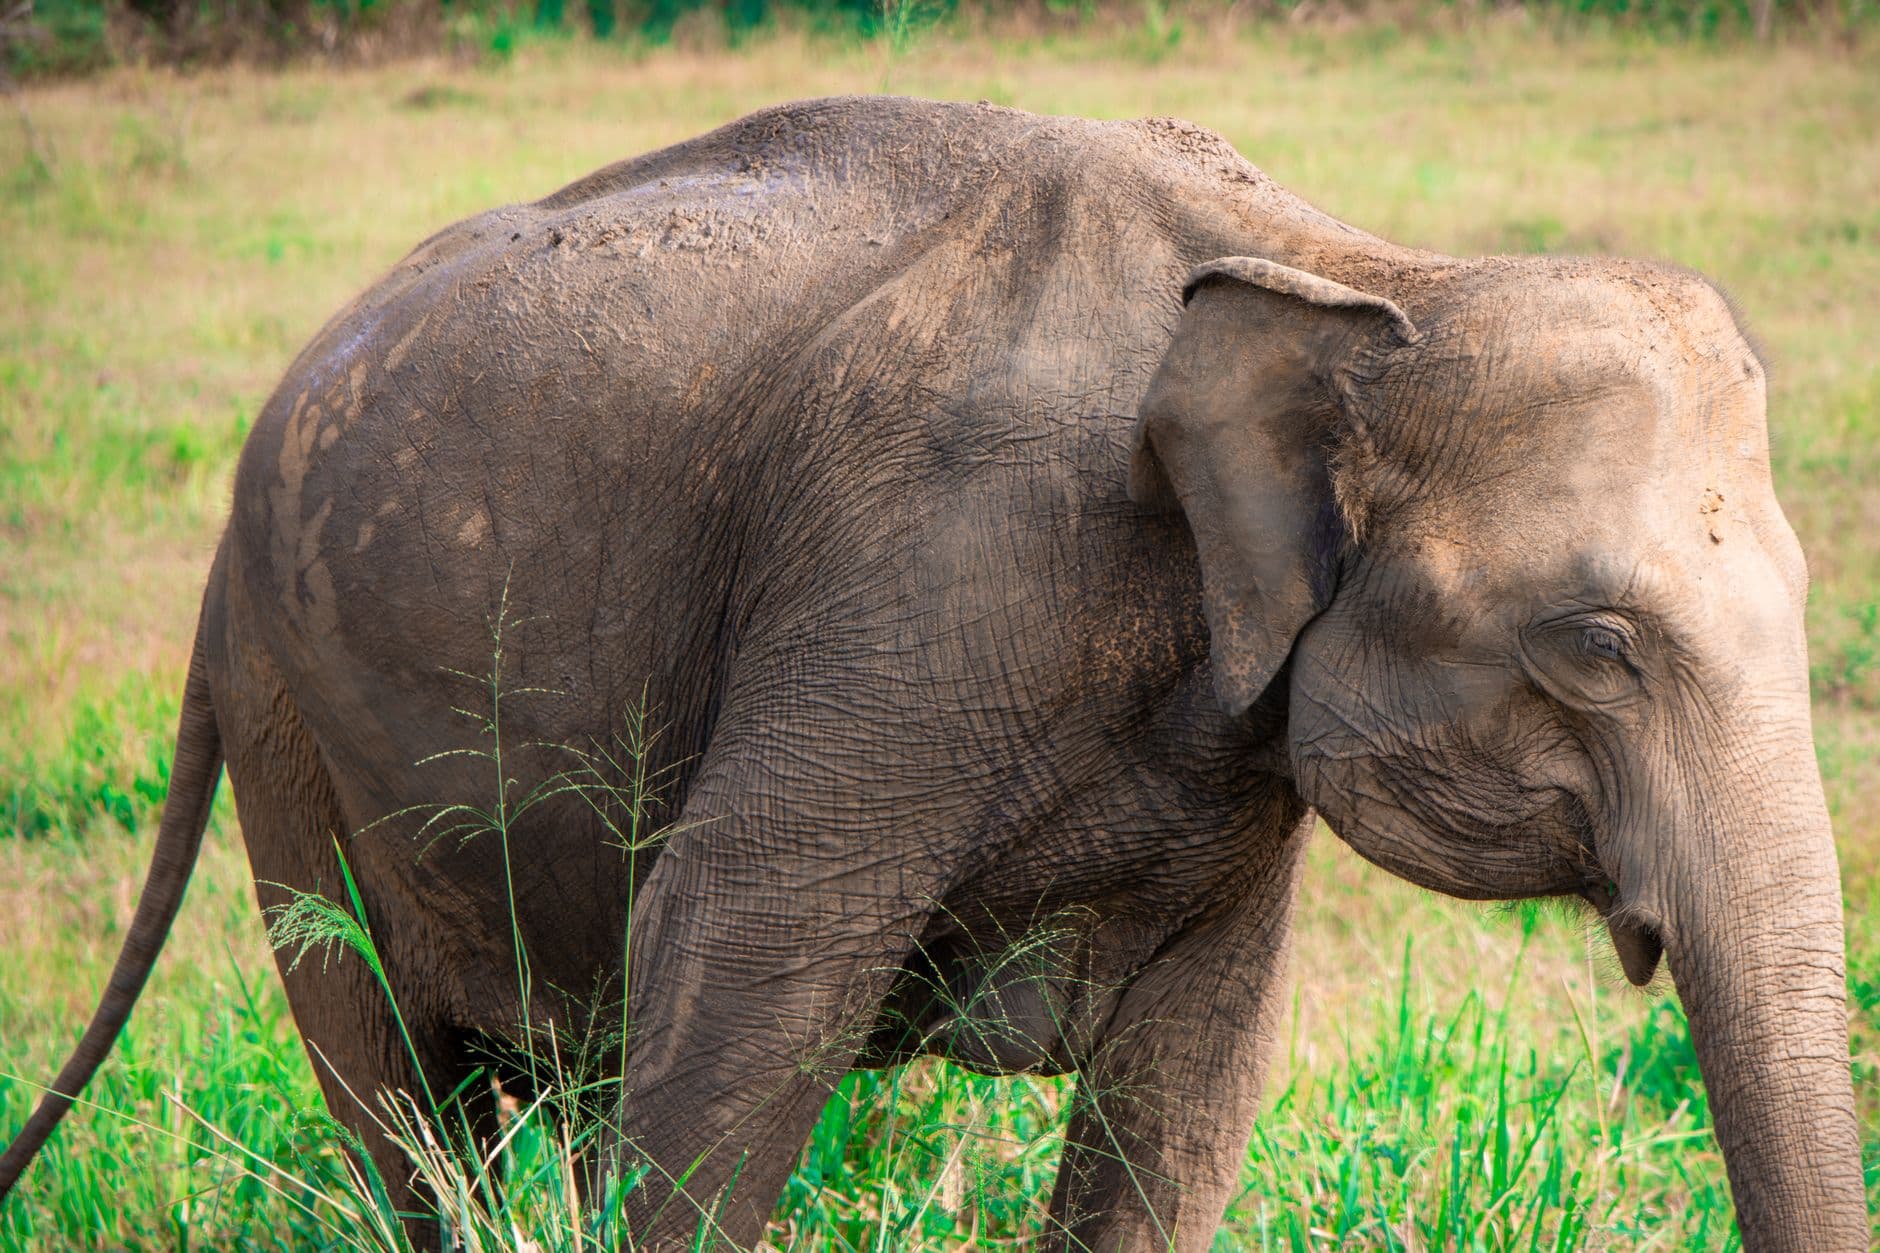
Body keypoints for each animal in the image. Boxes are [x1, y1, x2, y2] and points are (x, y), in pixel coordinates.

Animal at [1, 95, 1866, 1250]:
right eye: (1598, 646)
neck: (1360, 268)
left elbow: (1190, 1086)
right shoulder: (913, 579)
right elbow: (732, 966)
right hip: (287, 711)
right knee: (398, 1088)